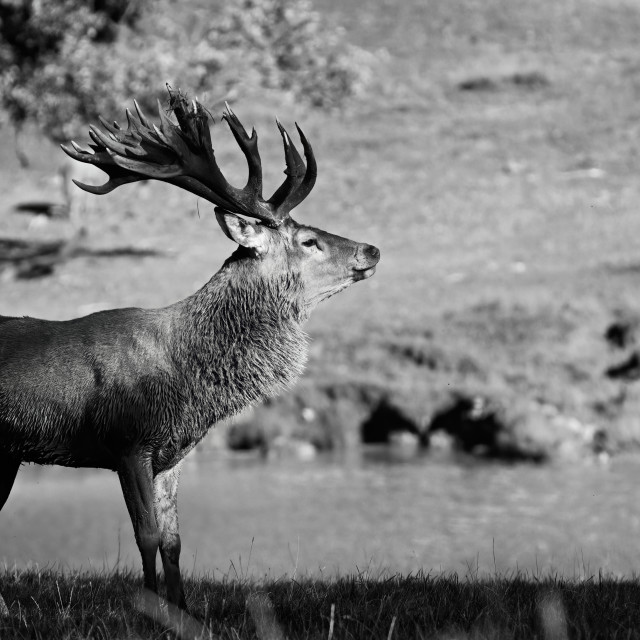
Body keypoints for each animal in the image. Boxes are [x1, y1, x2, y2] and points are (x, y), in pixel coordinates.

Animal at [0, 86, 380, 608]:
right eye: (308, 240)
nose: (372, 249)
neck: (186, 380)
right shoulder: (127, 439)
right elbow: (146, 536)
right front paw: (147, 608)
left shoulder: (173, 453)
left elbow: (174, 540)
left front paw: (182, 609)